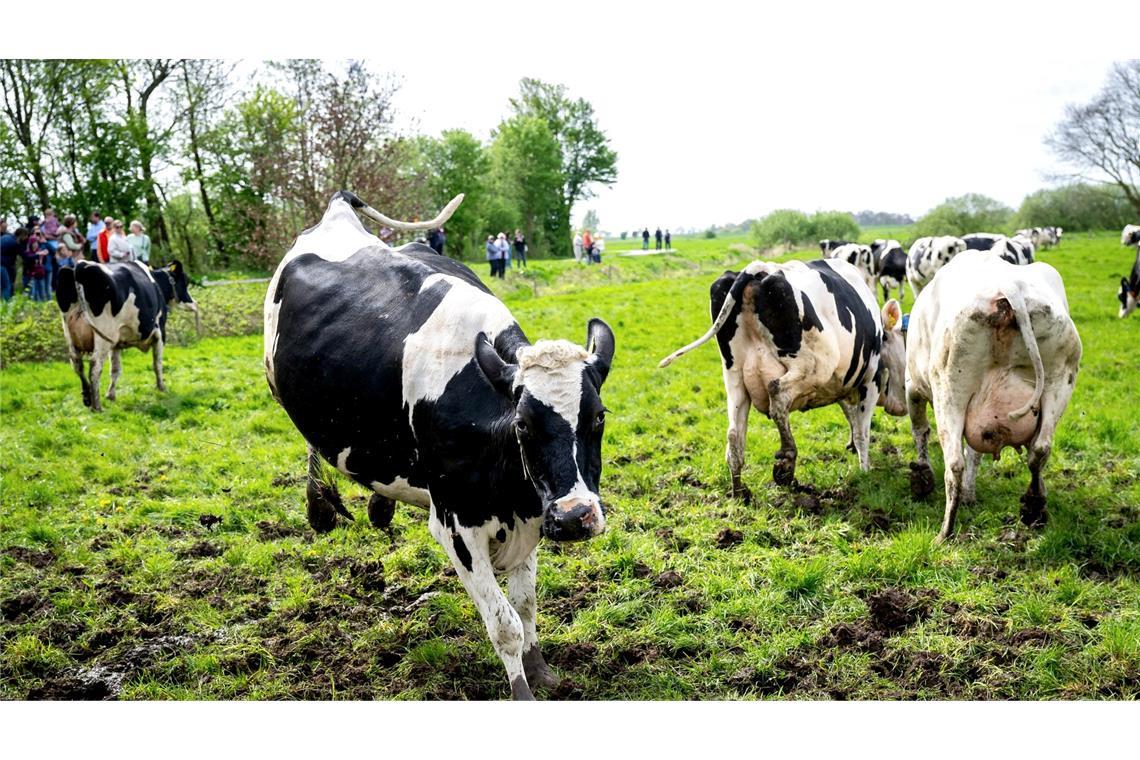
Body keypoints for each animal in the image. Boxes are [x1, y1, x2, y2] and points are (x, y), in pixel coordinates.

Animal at [57, 263, 199, 417]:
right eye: (185, 281)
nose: (194, 303)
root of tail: (80, 266)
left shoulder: (116, 344)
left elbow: (115, 370)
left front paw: (111, 395)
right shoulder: (160, 332)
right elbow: (157, 363)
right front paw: (161, 387)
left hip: (70, 334)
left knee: (77, 364)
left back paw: (87, 397)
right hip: (102, 335)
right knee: (95, 367)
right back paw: (97, 406)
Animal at [263, 191, 620, 701]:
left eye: (599, 416)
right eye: (523, 425)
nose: (574, 518)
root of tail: (337, 212)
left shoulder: (532, 510)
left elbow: (527, 605)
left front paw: (542, 672)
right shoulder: (456, 525)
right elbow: (505, 624)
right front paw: (523, 691)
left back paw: (379, 503)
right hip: (277, 383)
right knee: (313, 444)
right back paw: (320, 505)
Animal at [656, 258, 902, 499]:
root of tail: (759, 270)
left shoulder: (841, 384)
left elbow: (850, 416)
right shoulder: (870, 380)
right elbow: (862, 432)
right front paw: (864, 471)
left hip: (735, 378)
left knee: (734, 434)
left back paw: (740, 492)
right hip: (811, 366)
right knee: (777, 393)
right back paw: (786, 462)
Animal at [902, 252, 1080, 544]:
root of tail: (1010, 288)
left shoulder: (912, 387)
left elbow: (920, 431)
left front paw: (921, 477)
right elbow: (976, 452)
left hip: (949, 388)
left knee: (955, 464)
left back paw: (945, 533)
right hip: (1060, 380)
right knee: (1040, 449)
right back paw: (1034, 507)